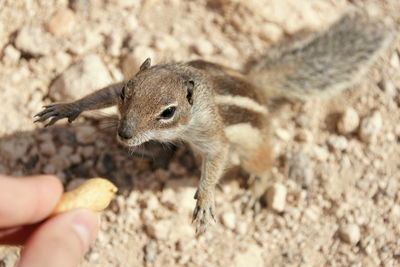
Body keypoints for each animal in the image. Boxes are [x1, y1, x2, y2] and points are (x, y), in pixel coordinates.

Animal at [34, 11, 394, 233]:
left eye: (168, 112)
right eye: (126, 91)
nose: (124, 134)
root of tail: (258, 87)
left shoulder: (211, 134)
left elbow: (218, 156)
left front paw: (206, 199)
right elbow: (101, 93)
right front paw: (69, 107)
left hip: (253, 147)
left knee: (264, 166)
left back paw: (255, 189)